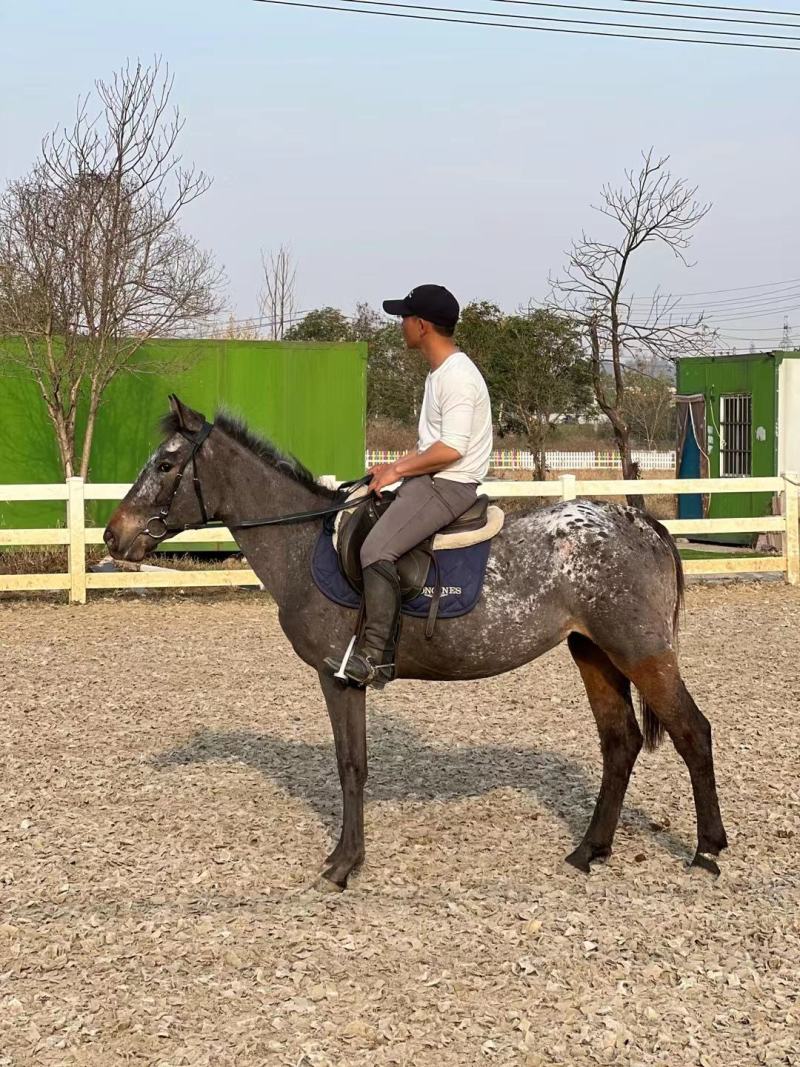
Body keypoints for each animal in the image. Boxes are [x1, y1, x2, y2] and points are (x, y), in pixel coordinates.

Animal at [103, 395, 727, 890]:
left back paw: (706, 851)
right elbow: (352, 764)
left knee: (693, 732)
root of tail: (642, 524)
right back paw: (589, 850)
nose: (114, 536)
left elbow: (351, 765)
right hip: (593, 651)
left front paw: (344, 864)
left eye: (165, 464)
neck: (305, 545)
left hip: (641, 653)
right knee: (620, 742)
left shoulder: (339, 677)